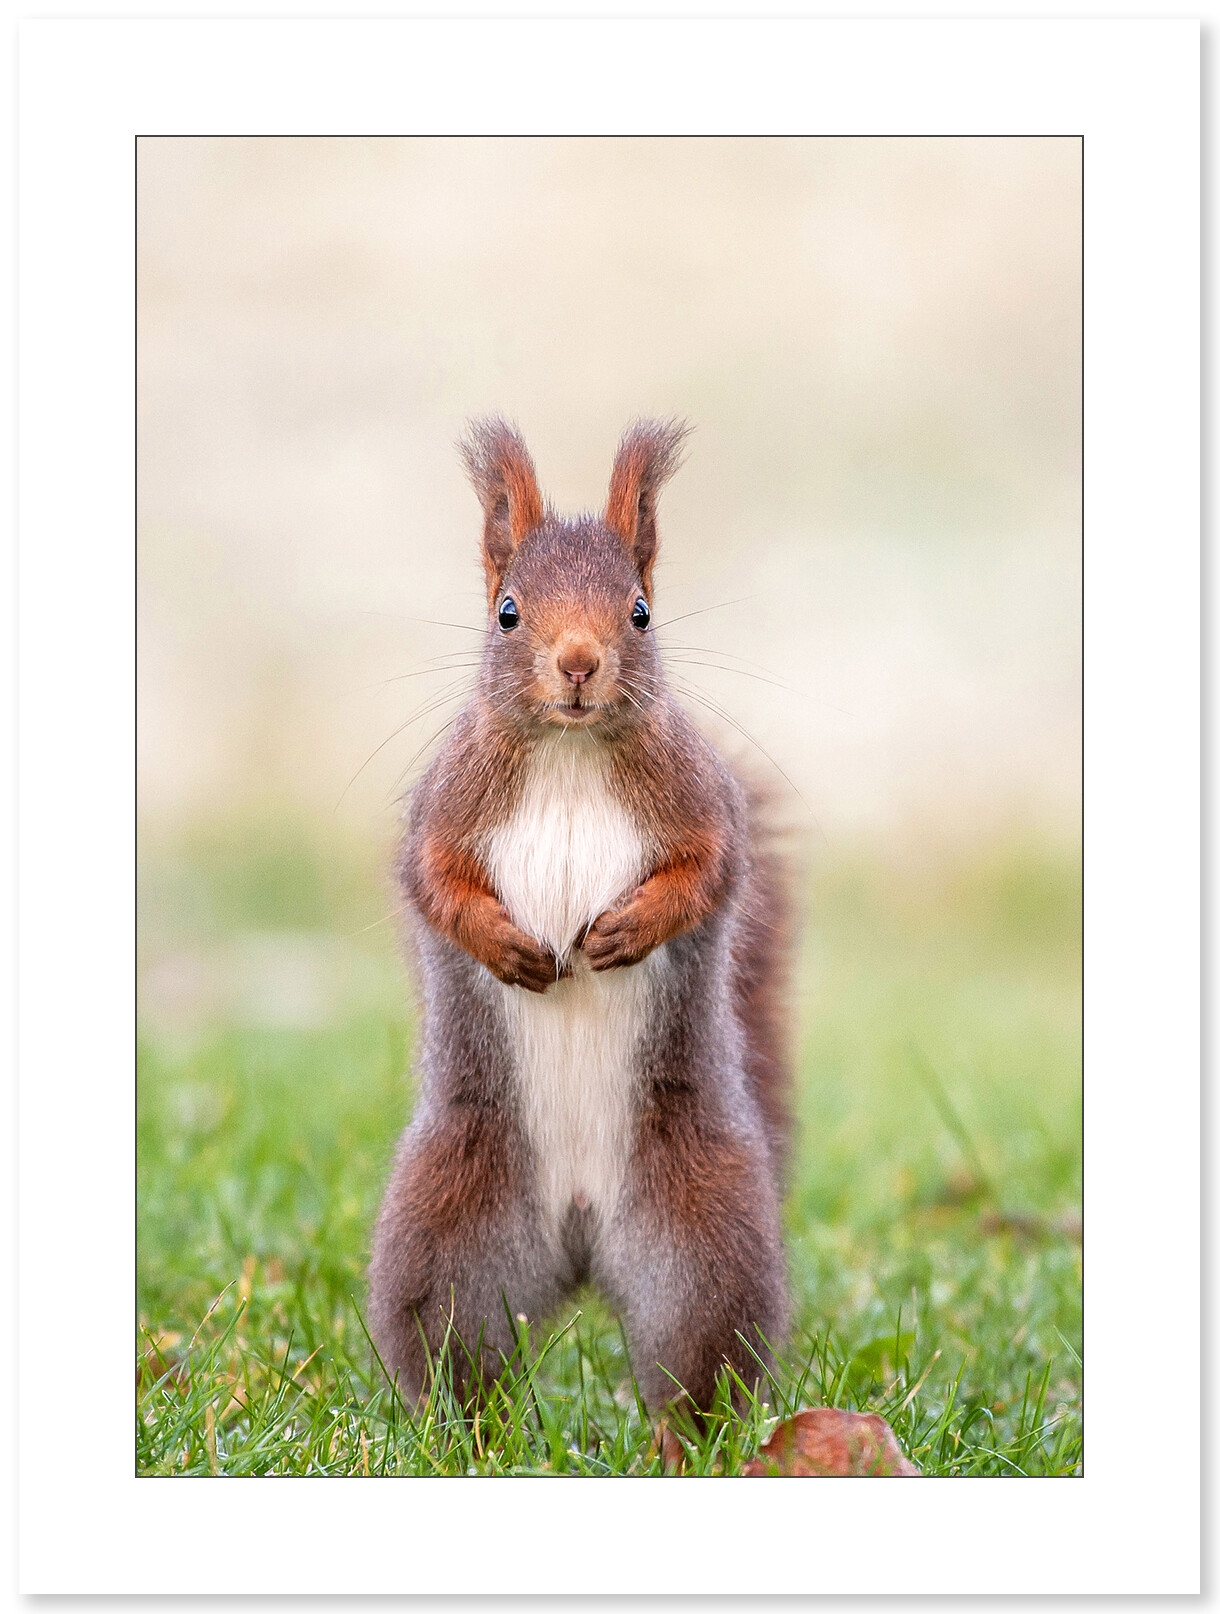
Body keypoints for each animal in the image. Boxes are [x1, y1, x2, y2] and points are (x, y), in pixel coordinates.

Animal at [367, 418, 793, 1417]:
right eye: (507, 612)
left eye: (639, 612)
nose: (576, 662)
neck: (568, 753)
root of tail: (583, 1231)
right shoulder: (443, 813)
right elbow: (433, 881)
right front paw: (507, 947)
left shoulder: (701, 806)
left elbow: (707, 873)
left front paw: (627, 932)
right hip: (450, 1234)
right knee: (456, 1356)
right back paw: (464, 1434)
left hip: (703, 1243)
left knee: (699, 1367)